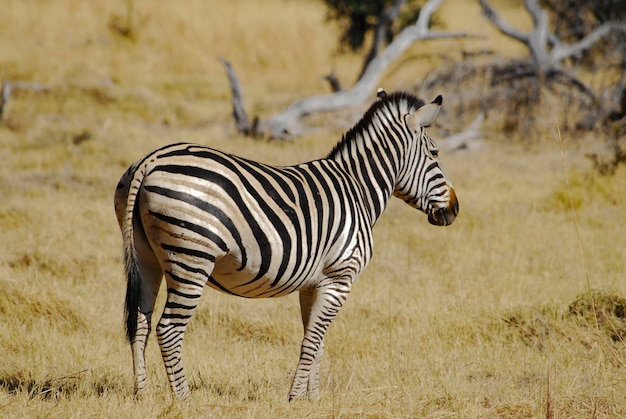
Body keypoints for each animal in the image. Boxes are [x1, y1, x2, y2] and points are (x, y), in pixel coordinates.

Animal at [114, 90, 458, 402]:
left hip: (147, 258)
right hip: (192, 258)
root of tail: (151, 160)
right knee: (169, 328)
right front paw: (294, 398)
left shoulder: (314, 283)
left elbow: (316, 342)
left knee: (141, 323)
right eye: (435, 153)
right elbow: (313, 340)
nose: (454, 210)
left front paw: (313, 399)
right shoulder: (340, 278)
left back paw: (143, 395)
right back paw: (185, 400)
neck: (358, 189)